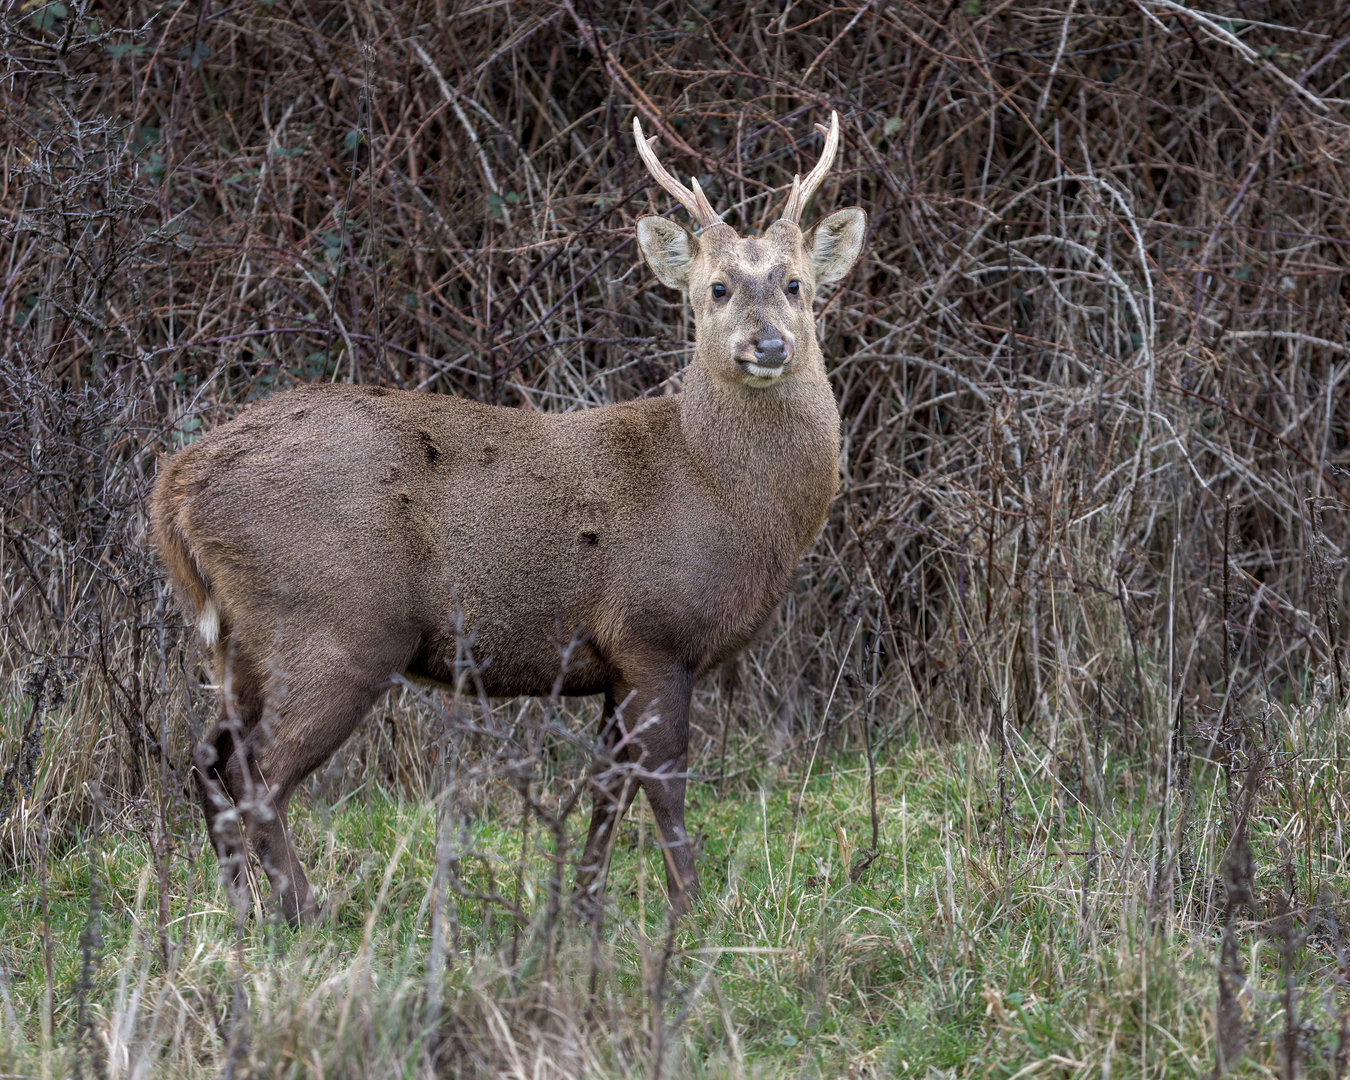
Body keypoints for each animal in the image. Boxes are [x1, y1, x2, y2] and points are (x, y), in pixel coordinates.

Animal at [151, 112, 866, 925]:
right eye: (714, 288)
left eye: (796, 284)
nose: (768, 345)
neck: (717, 489)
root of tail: (177, 486)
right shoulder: (653, 633)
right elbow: (665, 784)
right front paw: (688, 908)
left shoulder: (612, 659)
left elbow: (608, 785)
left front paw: (582, 902)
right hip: (335, 622)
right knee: (260, 773)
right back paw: (306, 910)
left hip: (239, 640)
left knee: (208, 758)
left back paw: (240, 911)